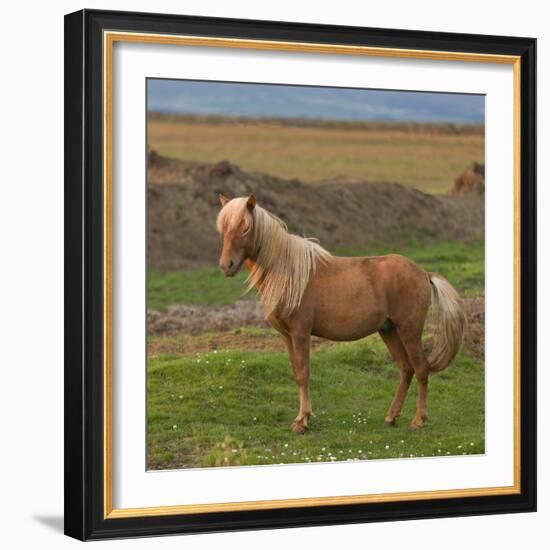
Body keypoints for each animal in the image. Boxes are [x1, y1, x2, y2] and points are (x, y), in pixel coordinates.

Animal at [218, 195, 468, 436]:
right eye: (223, 229)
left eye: (245, 227)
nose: (226, 265)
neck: (290, 273)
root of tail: (424, 273)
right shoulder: (287, 336)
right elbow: (297, 374)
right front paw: (302, 417)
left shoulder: (301, 334)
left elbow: (304, 374)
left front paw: (302, 421)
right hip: (389, 331)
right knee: (406, 369)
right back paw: (391, 417)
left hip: (409, 331)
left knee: (421, 369)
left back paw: (419, 420)